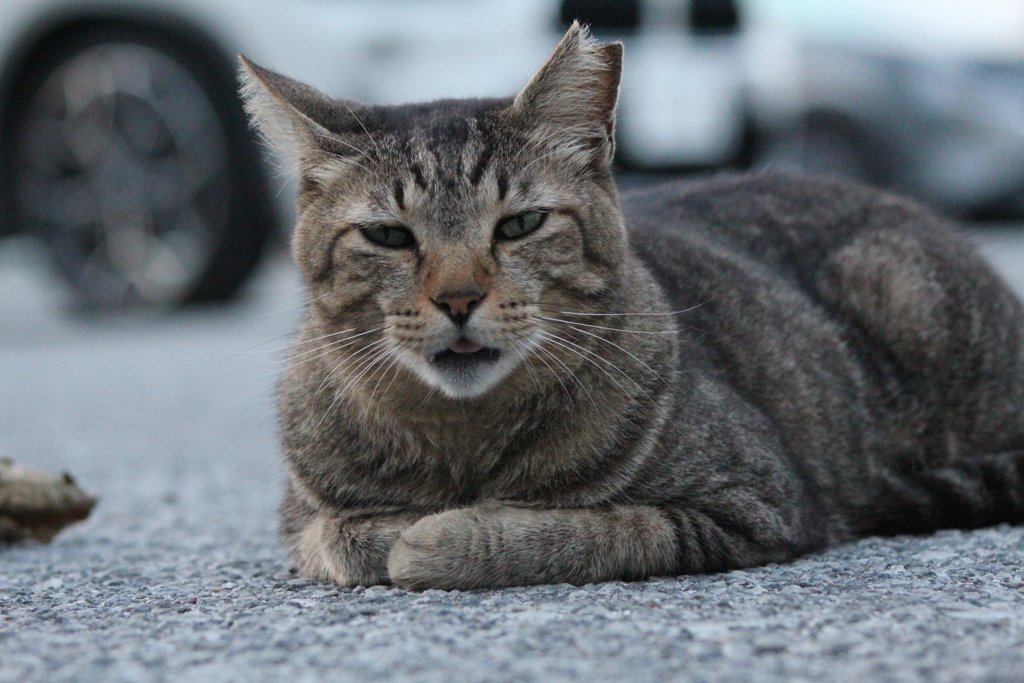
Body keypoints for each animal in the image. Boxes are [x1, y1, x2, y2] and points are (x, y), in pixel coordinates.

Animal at [239, 21, 1024, 589]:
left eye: (520, 225)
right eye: (389, 236)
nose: (458, 298)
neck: (465, 440)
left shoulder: (748, 504)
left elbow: (583, 529)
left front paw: (440, 536)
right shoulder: (298, 517)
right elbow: (336, 535)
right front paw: (395, 530)